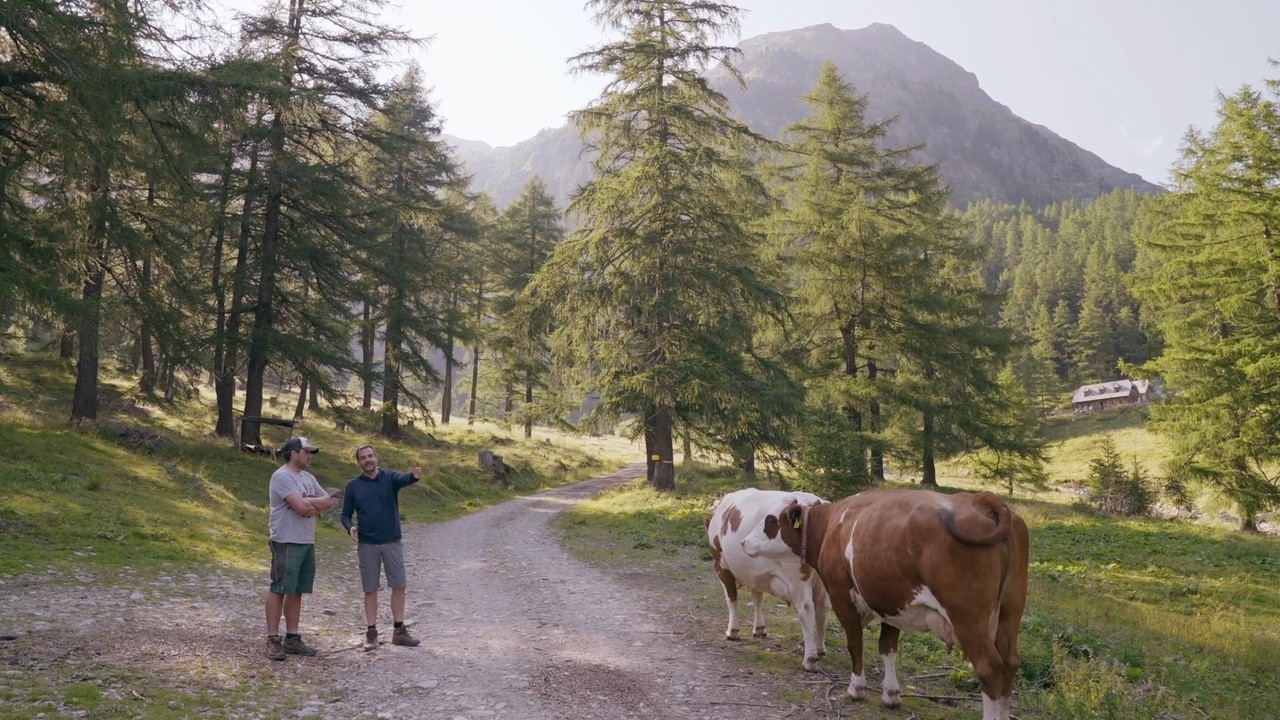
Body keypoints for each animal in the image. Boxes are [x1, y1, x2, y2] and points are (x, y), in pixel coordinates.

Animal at [701, 484, 829, 671]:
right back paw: (819, 648)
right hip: (824, 580)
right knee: (823, 610)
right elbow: (757, 598)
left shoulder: (721, 566)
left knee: (806, 609)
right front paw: (759, 629)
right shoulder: (757, 574)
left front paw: (733, 631)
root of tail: (815, 501)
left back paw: (810, 658)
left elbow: (731, 598)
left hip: (798, 579)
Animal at [742, 484, 1029, 712]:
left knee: (989, 668)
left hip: (967, 616)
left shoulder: (840, 594)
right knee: (1010, 664)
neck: (833, 525)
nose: (744, 542)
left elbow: (855, 643)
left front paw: (856, 688)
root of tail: (980, 499)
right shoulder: (891, 601)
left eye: (770, 521)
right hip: (1010, 610)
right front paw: (890, 694)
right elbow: (887, 647)